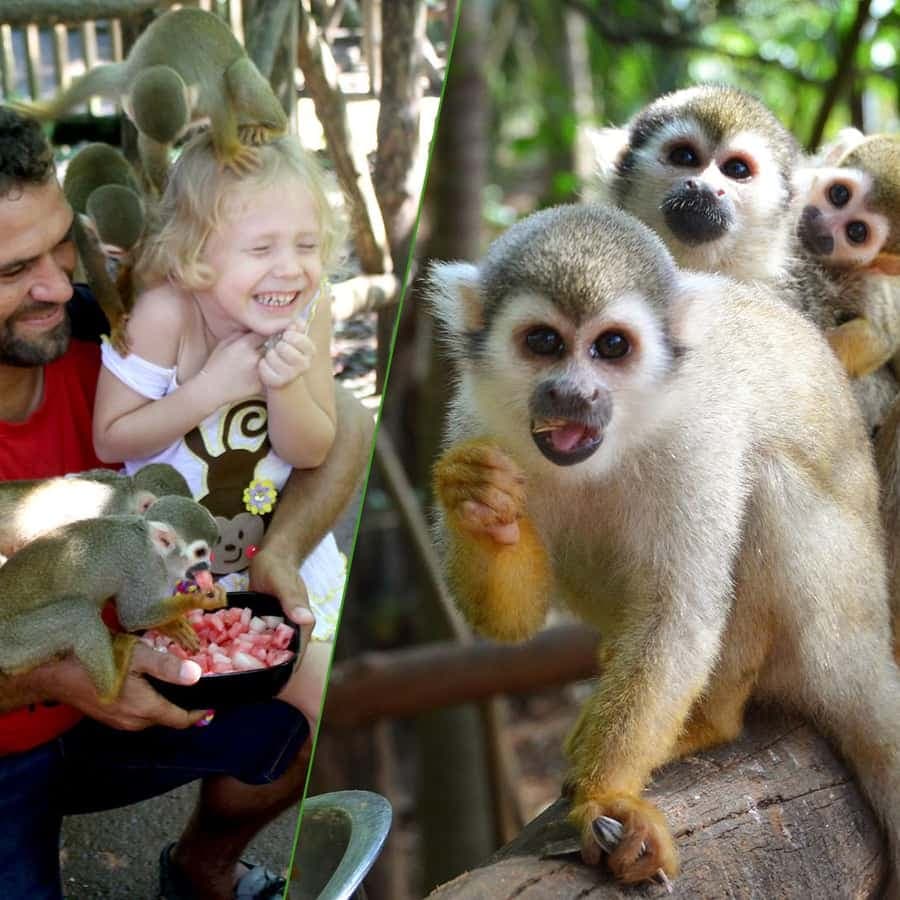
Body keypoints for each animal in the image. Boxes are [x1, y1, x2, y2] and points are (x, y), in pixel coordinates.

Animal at [0, 494, 226, 702]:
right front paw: (200, 600)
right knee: (80, 613)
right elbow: (132, 616)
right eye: (200, 552)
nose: (207, 566)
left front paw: (172, 626)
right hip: (12, 638)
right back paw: (111, 689)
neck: (156, 553)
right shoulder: (143, 570)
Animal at [8, 7, 288, 194]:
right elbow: (93, 81)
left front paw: (230, 152)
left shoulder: (202, 90)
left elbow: (219, 103)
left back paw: (276, 127)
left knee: (237, 75)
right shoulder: (122, 81)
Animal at [62, 143, 146, 355]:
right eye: (114, 251)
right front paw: (117, 323)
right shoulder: (84, 235)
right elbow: (97, 275)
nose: (128, 258)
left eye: (135, 247)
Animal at [429, 204, 900, 892]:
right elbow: (512, 621)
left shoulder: (697, 433)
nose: (572, 394)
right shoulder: (475, 421)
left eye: (611, 347)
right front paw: (479, 501)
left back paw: (713, 719)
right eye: (543, 342)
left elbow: (680, 615)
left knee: (766, 486)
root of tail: (867, 646)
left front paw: (607, 799)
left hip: (838, 615)